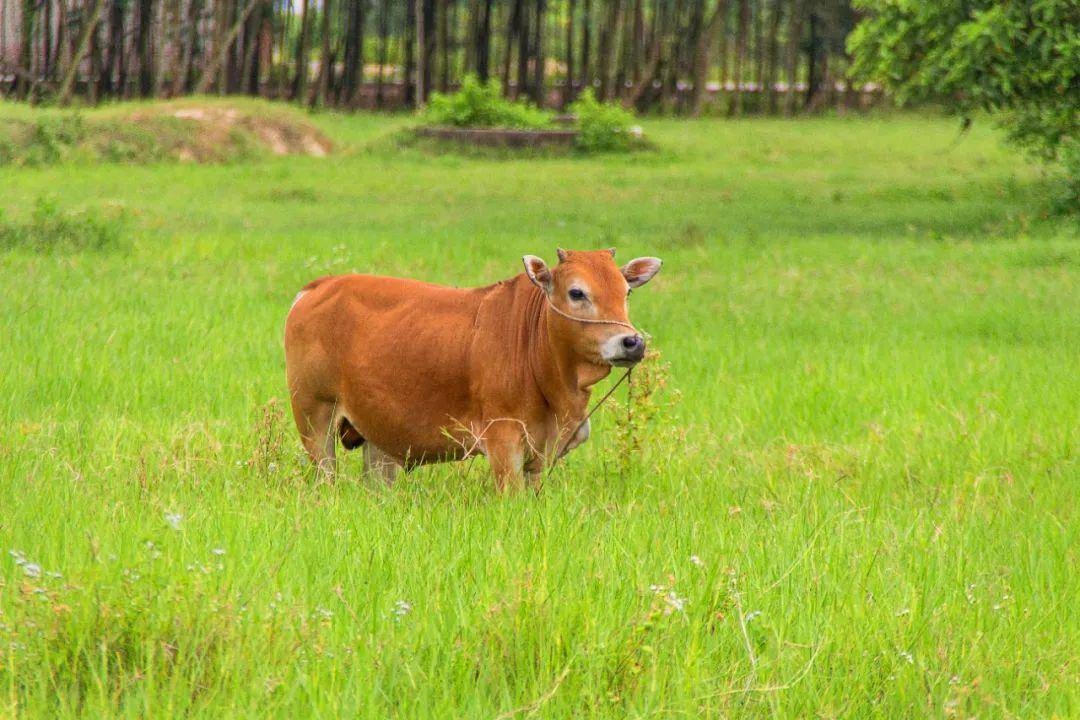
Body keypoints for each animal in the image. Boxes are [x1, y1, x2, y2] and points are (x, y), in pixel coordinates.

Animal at [282, 248, 660, 490]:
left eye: (626, 292)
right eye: (577, 292)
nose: (631, 342)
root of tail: (317, 287)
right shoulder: (503, 440)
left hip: (378, 434)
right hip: (314, 418)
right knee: (326, 475)